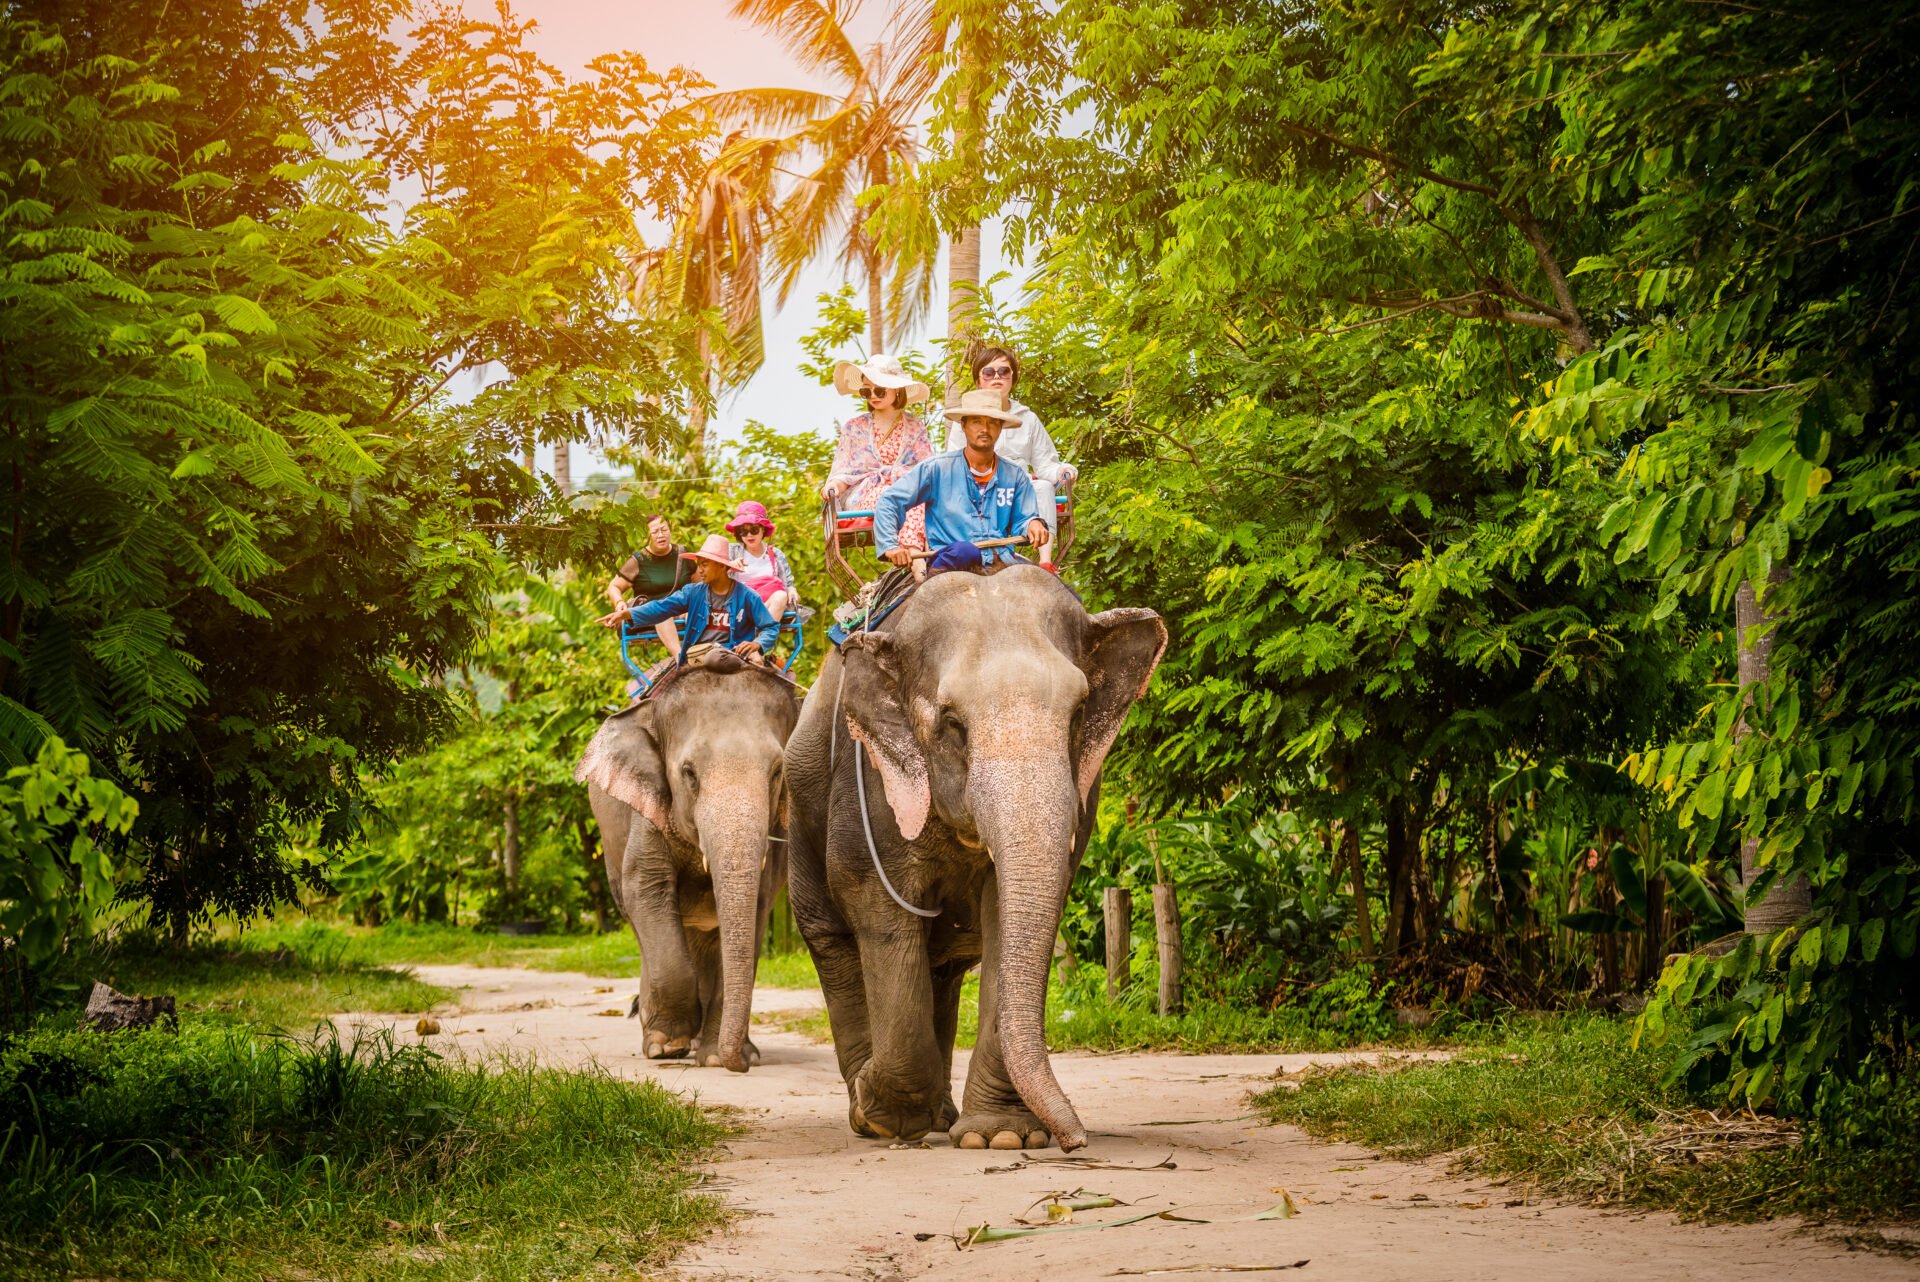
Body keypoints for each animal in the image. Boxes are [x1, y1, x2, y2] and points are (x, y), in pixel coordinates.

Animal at [575, 650, 799, 1072]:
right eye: (689, 773)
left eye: (778, 772)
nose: (741, 1065)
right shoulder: (648, 810)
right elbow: (645, 889)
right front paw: (668, 1045)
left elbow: (757, 908)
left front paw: (716, 1057)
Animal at [785, 563, 1166, 1150]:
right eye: (952, 723)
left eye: (1079, 713)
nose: (1076, 1140)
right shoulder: (866, 780)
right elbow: (877, 905)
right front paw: (887, 1113)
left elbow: (1005, 917)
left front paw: (1000, 1136)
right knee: (833, 942)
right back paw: (868, 1115)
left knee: (940, 970)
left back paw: (937, 1115)